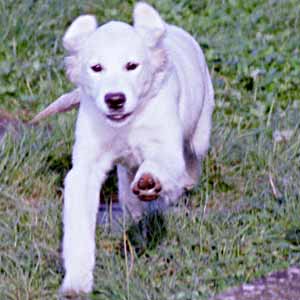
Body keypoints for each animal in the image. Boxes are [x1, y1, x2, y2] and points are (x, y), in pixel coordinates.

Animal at [57, 1, 214, 294]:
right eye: (96, 67)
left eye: (132, 65)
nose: (115, 99)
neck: (125, 125)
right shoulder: (86, 166)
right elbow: (78, 223)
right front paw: (76, 281)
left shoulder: (165, 145)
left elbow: (161, 162)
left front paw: (150, 181)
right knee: (131, 199)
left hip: (200, 135)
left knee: (190, 162)